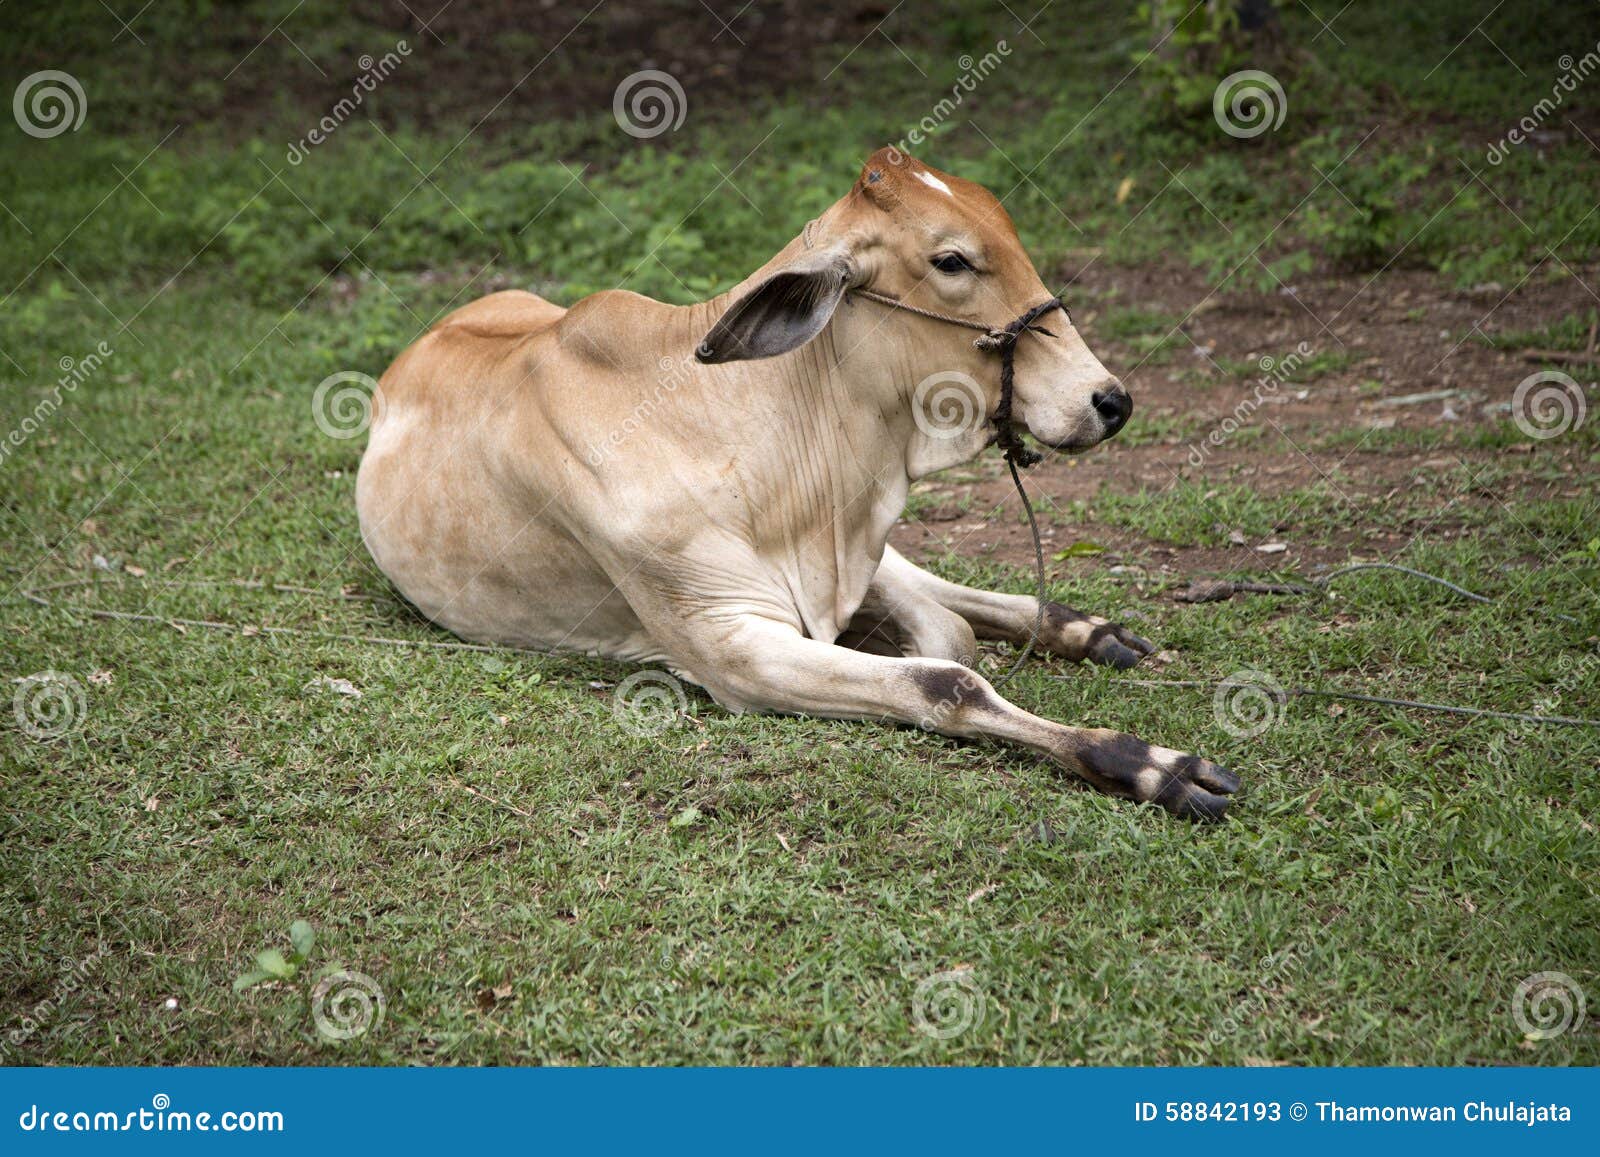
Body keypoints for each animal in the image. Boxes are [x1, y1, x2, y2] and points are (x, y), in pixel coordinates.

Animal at [356, 147, 1239, 819]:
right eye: (952, 259)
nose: (1110, 399)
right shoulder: (733, 648)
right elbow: (948, 675)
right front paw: (1152, 766)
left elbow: (944, 637)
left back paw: (1088, 628)